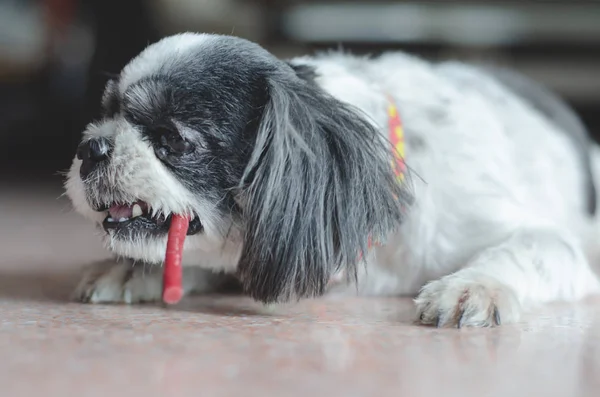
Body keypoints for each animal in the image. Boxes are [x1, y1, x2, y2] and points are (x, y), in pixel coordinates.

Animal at [65, 32, 600, 326]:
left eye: (173, 141)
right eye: (105, 114)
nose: (91, 148)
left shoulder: (533, 235)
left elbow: (525, 249)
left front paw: (475, 287)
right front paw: (133, 270)